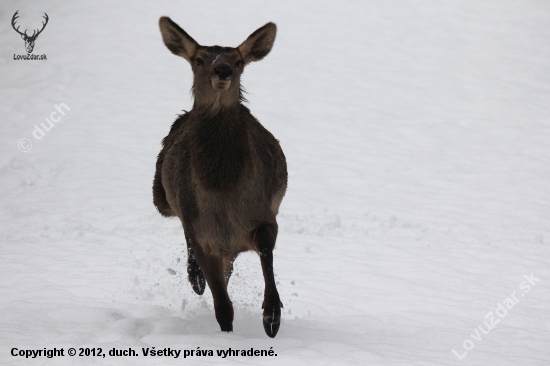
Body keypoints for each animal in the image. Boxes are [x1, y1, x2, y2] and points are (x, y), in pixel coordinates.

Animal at [153, 16, 286, 338]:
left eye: (238, 61)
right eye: (199, 60)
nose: (222, 70)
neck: (223, 192)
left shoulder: (264, 215)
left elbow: (265, 249)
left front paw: (272, 315)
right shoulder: (203, 235)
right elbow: (223, 306)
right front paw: (227, 335)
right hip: (164, 200)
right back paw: (194, 277)